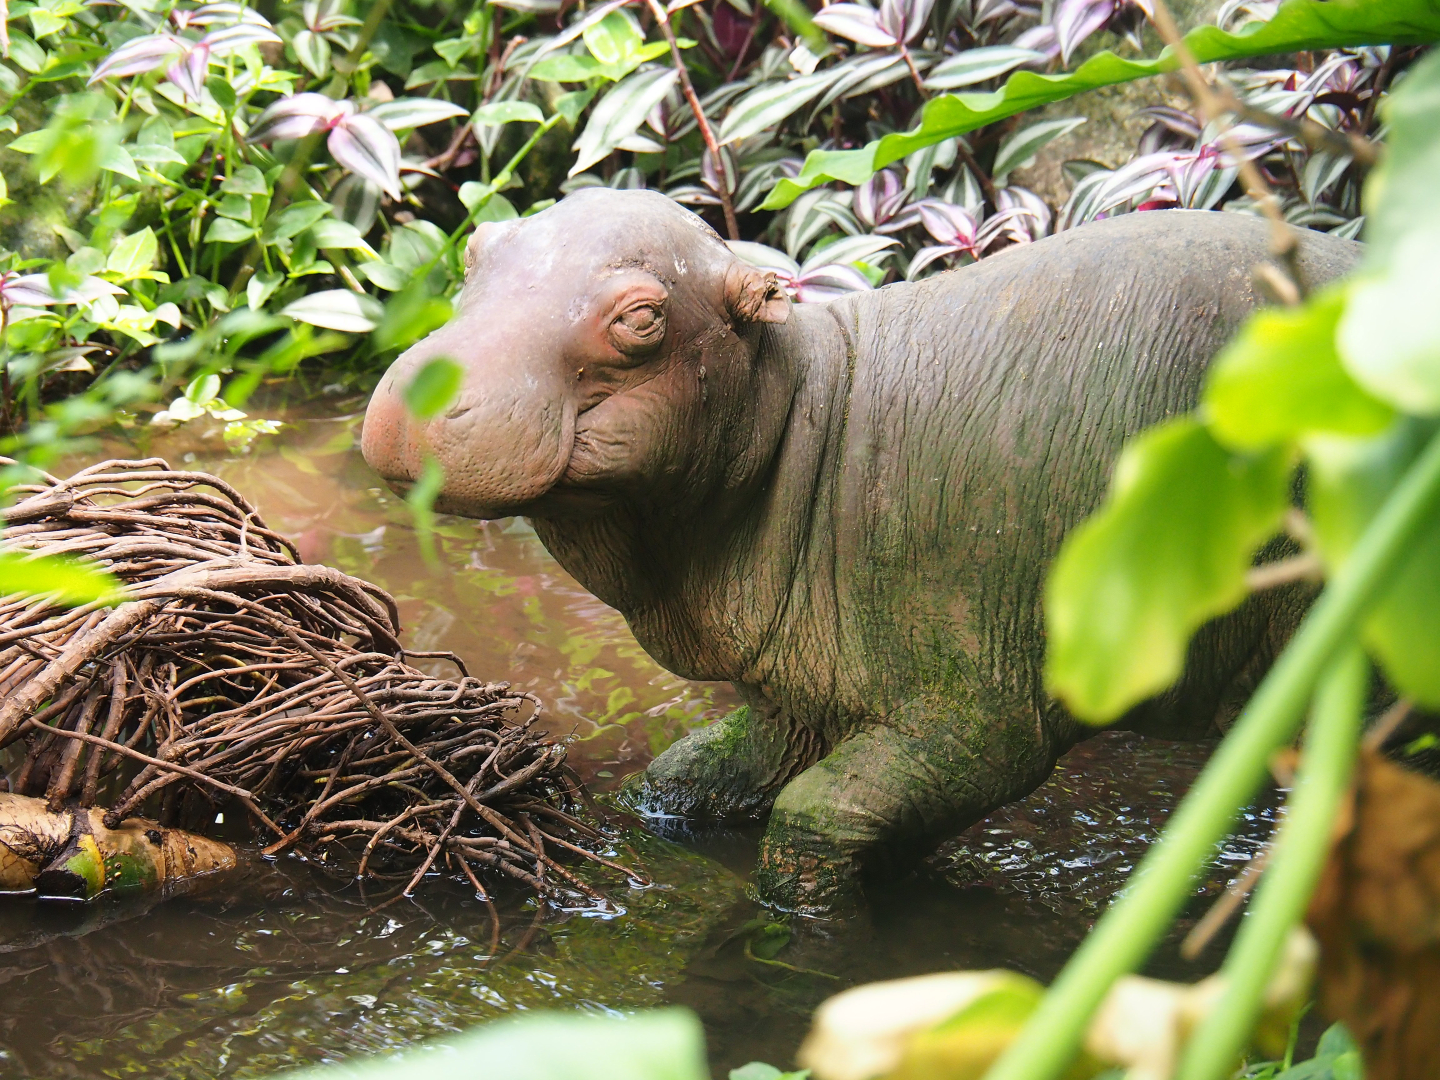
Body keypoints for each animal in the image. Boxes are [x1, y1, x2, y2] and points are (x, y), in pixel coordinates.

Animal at [361, 189, 1359, 914]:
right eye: (475, 253)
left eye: (641, 318)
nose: (417, 390)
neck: (807, 411)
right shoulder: (803, 690)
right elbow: (691, 778)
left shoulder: (977, 697)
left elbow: (817, 821)